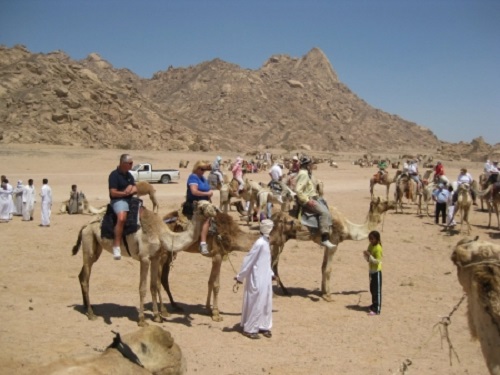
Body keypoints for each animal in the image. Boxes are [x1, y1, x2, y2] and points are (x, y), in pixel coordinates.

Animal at [70, 201, 217, 328]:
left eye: (209, 202)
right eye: (203, 205)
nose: (215, 209)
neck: (160, 233)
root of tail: (85, 226)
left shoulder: (155, 258)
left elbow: (153, 286)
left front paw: (157, 316)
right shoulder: (144, 258)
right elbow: (142, 288)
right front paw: (142, 320)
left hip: (95, 249)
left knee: (81, 274)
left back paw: (87, 307)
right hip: (89, 242)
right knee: (85, 279)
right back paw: (91, 314)